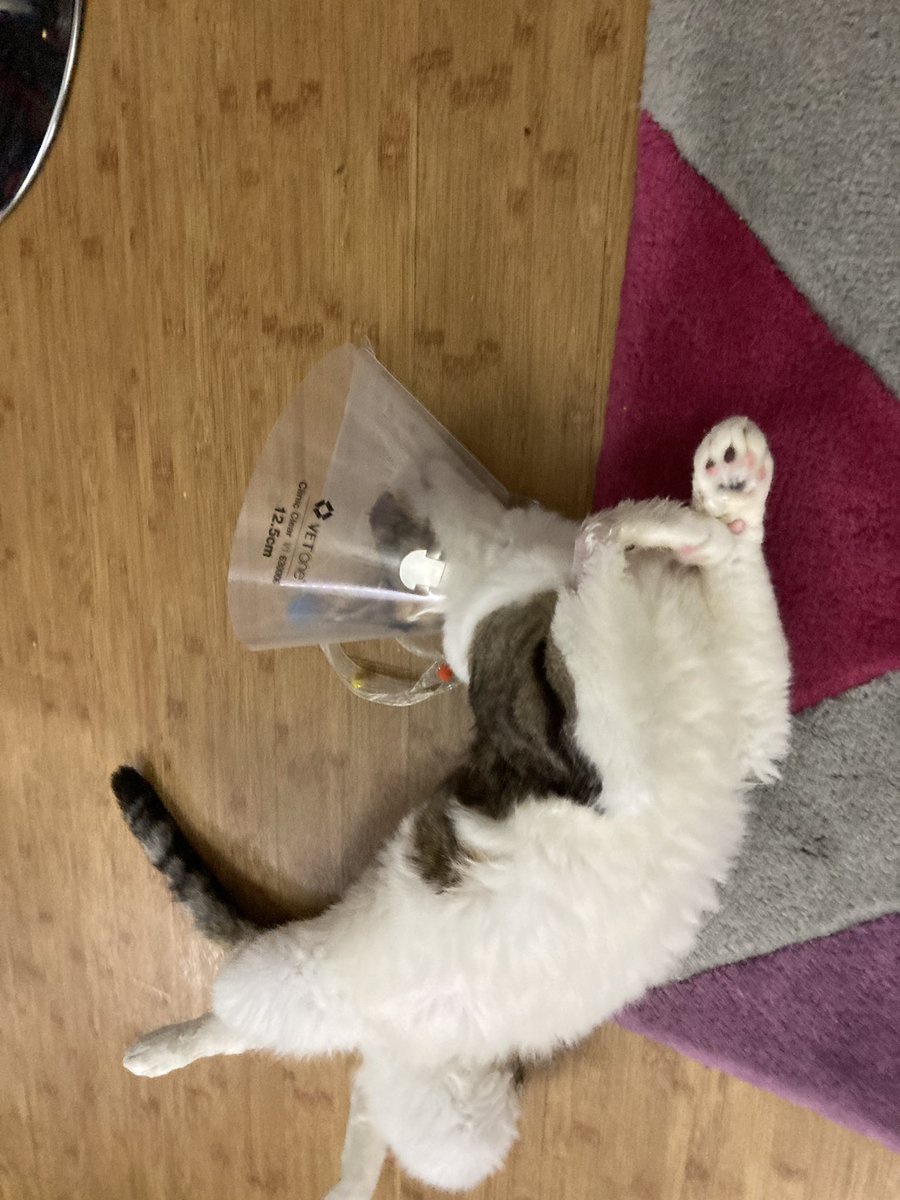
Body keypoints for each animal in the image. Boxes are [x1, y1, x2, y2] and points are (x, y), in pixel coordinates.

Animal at [113, 417, 790, 1199]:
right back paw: (159, 1050)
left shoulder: (754, 729)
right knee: (234, 1022)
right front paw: (662, 527)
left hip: (462, 1133)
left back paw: (346, 1186)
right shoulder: (603, 762)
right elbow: (600, 566)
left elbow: (738, 588)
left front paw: (730, 499)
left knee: (366, 1105)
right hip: (289, 983)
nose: (410, 467)